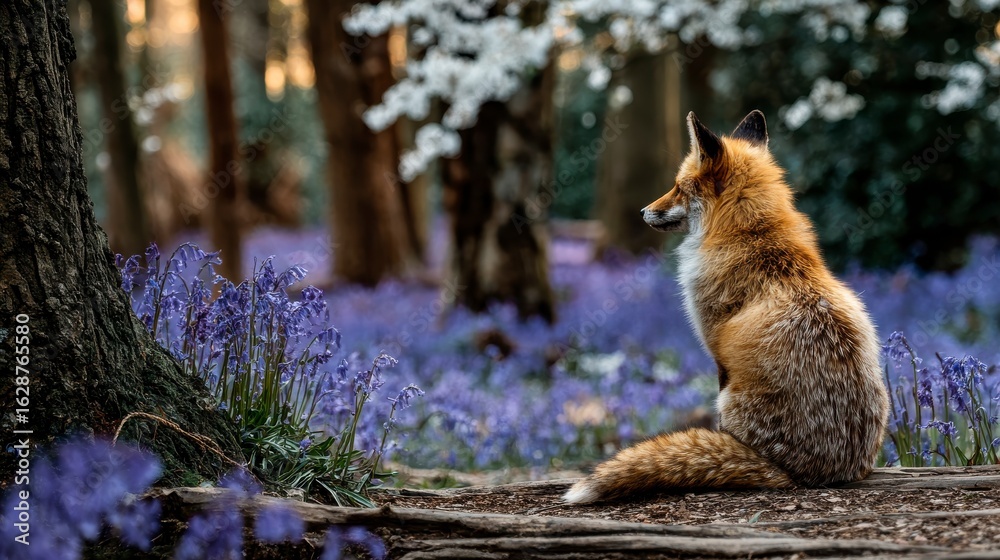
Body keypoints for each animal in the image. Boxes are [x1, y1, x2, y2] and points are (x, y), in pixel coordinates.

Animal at [563, 110, 890, 504]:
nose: (643, 211)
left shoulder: (717, 352)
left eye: (679, 187)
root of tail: (807, 475)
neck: (754, 238)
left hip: (730, 399)